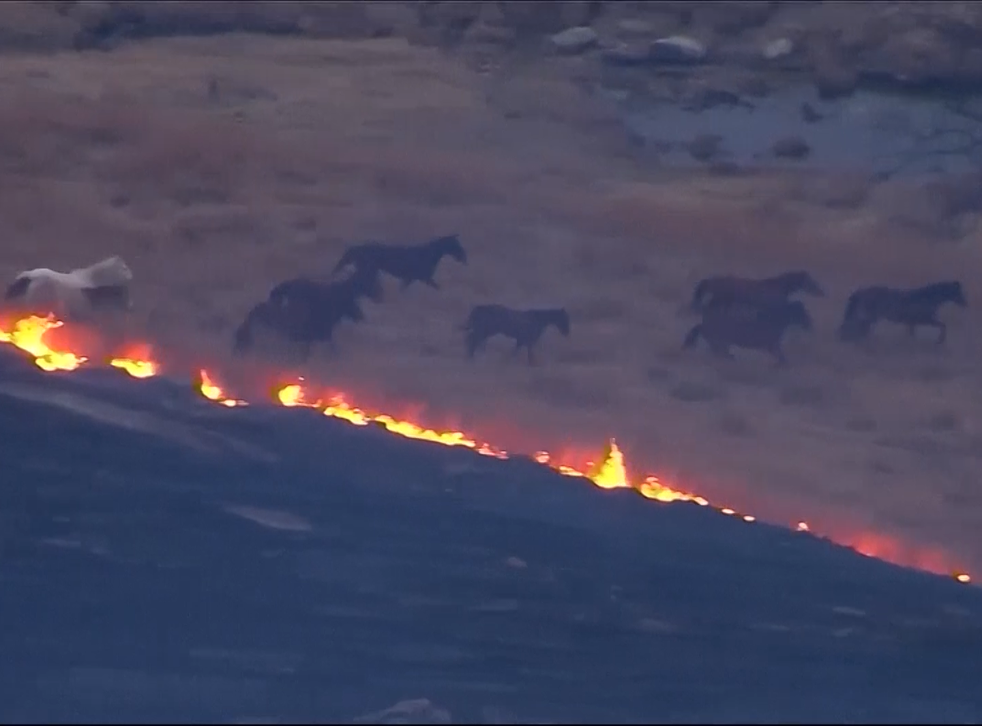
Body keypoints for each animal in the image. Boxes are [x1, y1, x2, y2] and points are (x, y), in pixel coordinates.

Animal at [330, 233, 468, 290]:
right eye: (455, 244)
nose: (464, 256)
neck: (431, 254)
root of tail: (356, 248)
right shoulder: (423, 278)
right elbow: (438, 288)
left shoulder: (411, 279)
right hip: (367, 270)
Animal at [836, 280, 968, 346]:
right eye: (958, 292)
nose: (966, 303)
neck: (928, 298)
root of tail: (860, 292)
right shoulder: (924, 319)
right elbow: (943, 325)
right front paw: (940, 340)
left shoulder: (913, 322)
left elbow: (911, 334)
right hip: (868, 317)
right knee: (852, 327)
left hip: (869, 318)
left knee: (855, 328)